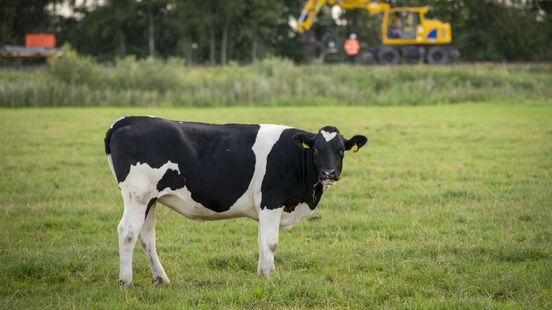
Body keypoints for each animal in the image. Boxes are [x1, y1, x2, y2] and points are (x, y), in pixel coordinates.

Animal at [105, 116, 368, 286]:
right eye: (316, 149)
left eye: (341, 150)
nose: (328, 173)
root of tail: (128, 120)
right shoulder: (271, 200)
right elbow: (271, 242)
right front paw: (269, 276)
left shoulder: (265, 208)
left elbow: (262, 241)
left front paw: (263, 273)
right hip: (138, 195)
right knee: (127, 232)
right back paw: (126, 281)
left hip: (150, 199)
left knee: (146, 236)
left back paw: (161, 278)